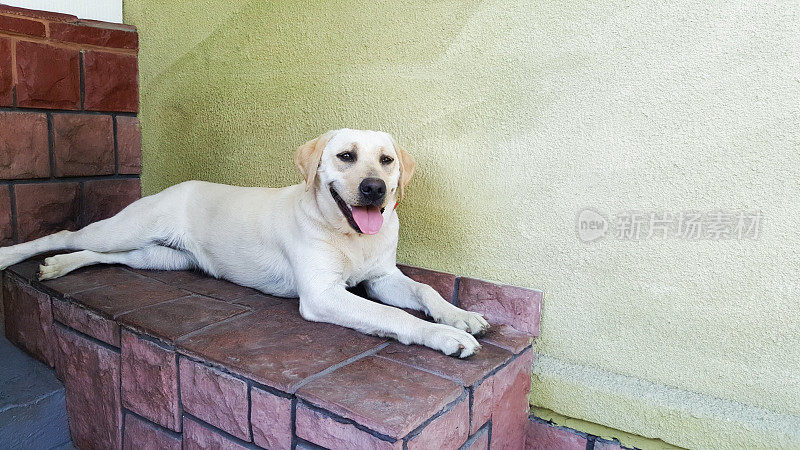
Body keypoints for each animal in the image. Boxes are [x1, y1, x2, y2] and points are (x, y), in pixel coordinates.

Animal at [0, 128, 488, 356]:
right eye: (345, 156)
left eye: (387, 161)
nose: (375, 189)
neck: (350, 236)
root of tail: (177, 186)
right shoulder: (322, 294)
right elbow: (393, 316)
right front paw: (444, 336)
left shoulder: (383, 276)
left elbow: (423, 290)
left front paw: (460, 316)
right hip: (129, 228)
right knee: (67, 234)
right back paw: (14, 254)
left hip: (160, 258)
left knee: (106, 257)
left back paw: (61, 266)